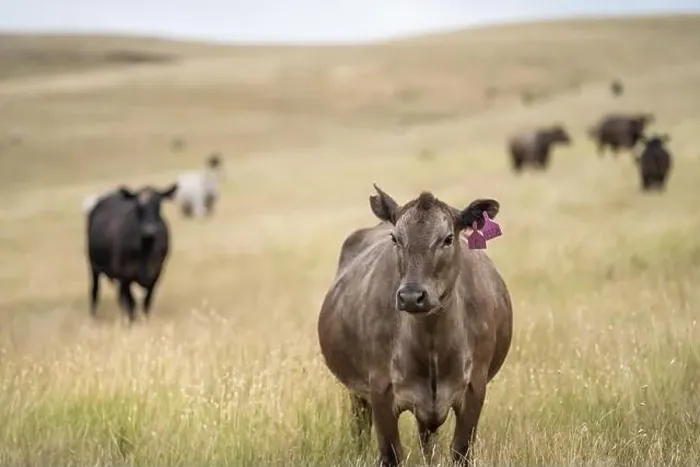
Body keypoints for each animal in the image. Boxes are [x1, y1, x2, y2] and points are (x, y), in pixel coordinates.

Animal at [87, 183, 178, 322]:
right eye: (138, 206)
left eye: (158, 204)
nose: (149, 230)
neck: (146, 251)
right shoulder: (125, 275)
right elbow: (132, 303)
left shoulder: (156, 273)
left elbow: (146, 302)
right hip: (93, 265)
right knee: (95, 291)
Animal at [317, 184, 513, 467]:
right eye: (395, 238)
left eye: (448, 239)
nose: (411, 296)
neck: (432, 344)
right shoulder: (380, 390)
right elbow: (391, 454)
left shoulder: (475, 387)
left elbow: (460, 450)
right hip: (358, 393)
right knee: (360, 427)